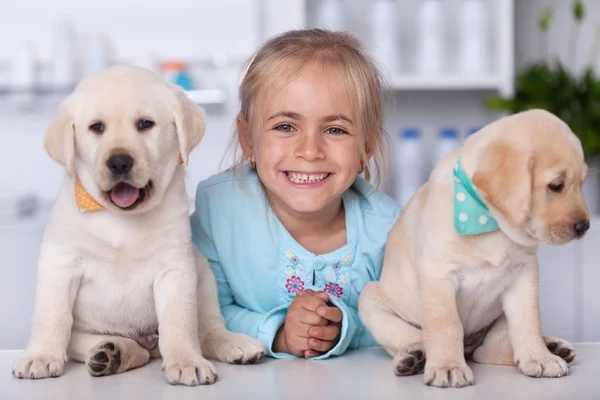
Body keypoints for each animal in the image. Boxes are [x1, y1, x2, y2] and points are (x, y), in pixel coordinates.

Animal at [11, 66, 264, 388]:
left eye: (145, 124)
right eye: (96, 127)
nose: (119, 161)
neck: (121, 220)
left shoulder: (175, 268)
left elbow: (179, 322)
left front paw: (186, 361)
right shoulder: (60, 262)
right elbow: (52, 315)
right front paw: (41, 356)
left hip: (203, 273)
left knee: (206, 330)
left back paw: (234, 344)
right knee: (88, 342)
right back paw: (110, 352)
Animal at [358, 108, 588, 388]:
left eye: (582, 183)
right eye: (556, 185)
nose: (585, 226)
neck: (489, 220)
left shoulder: (525, 276)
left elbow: (528, 320)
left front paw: (539, 357)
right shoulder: (438, 275)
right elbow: (446, 324)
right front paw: (447, 366)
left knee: (493, 349)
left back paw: (552, 348)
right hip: (370, 299)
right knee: (414, 338)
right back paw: (414, 357)